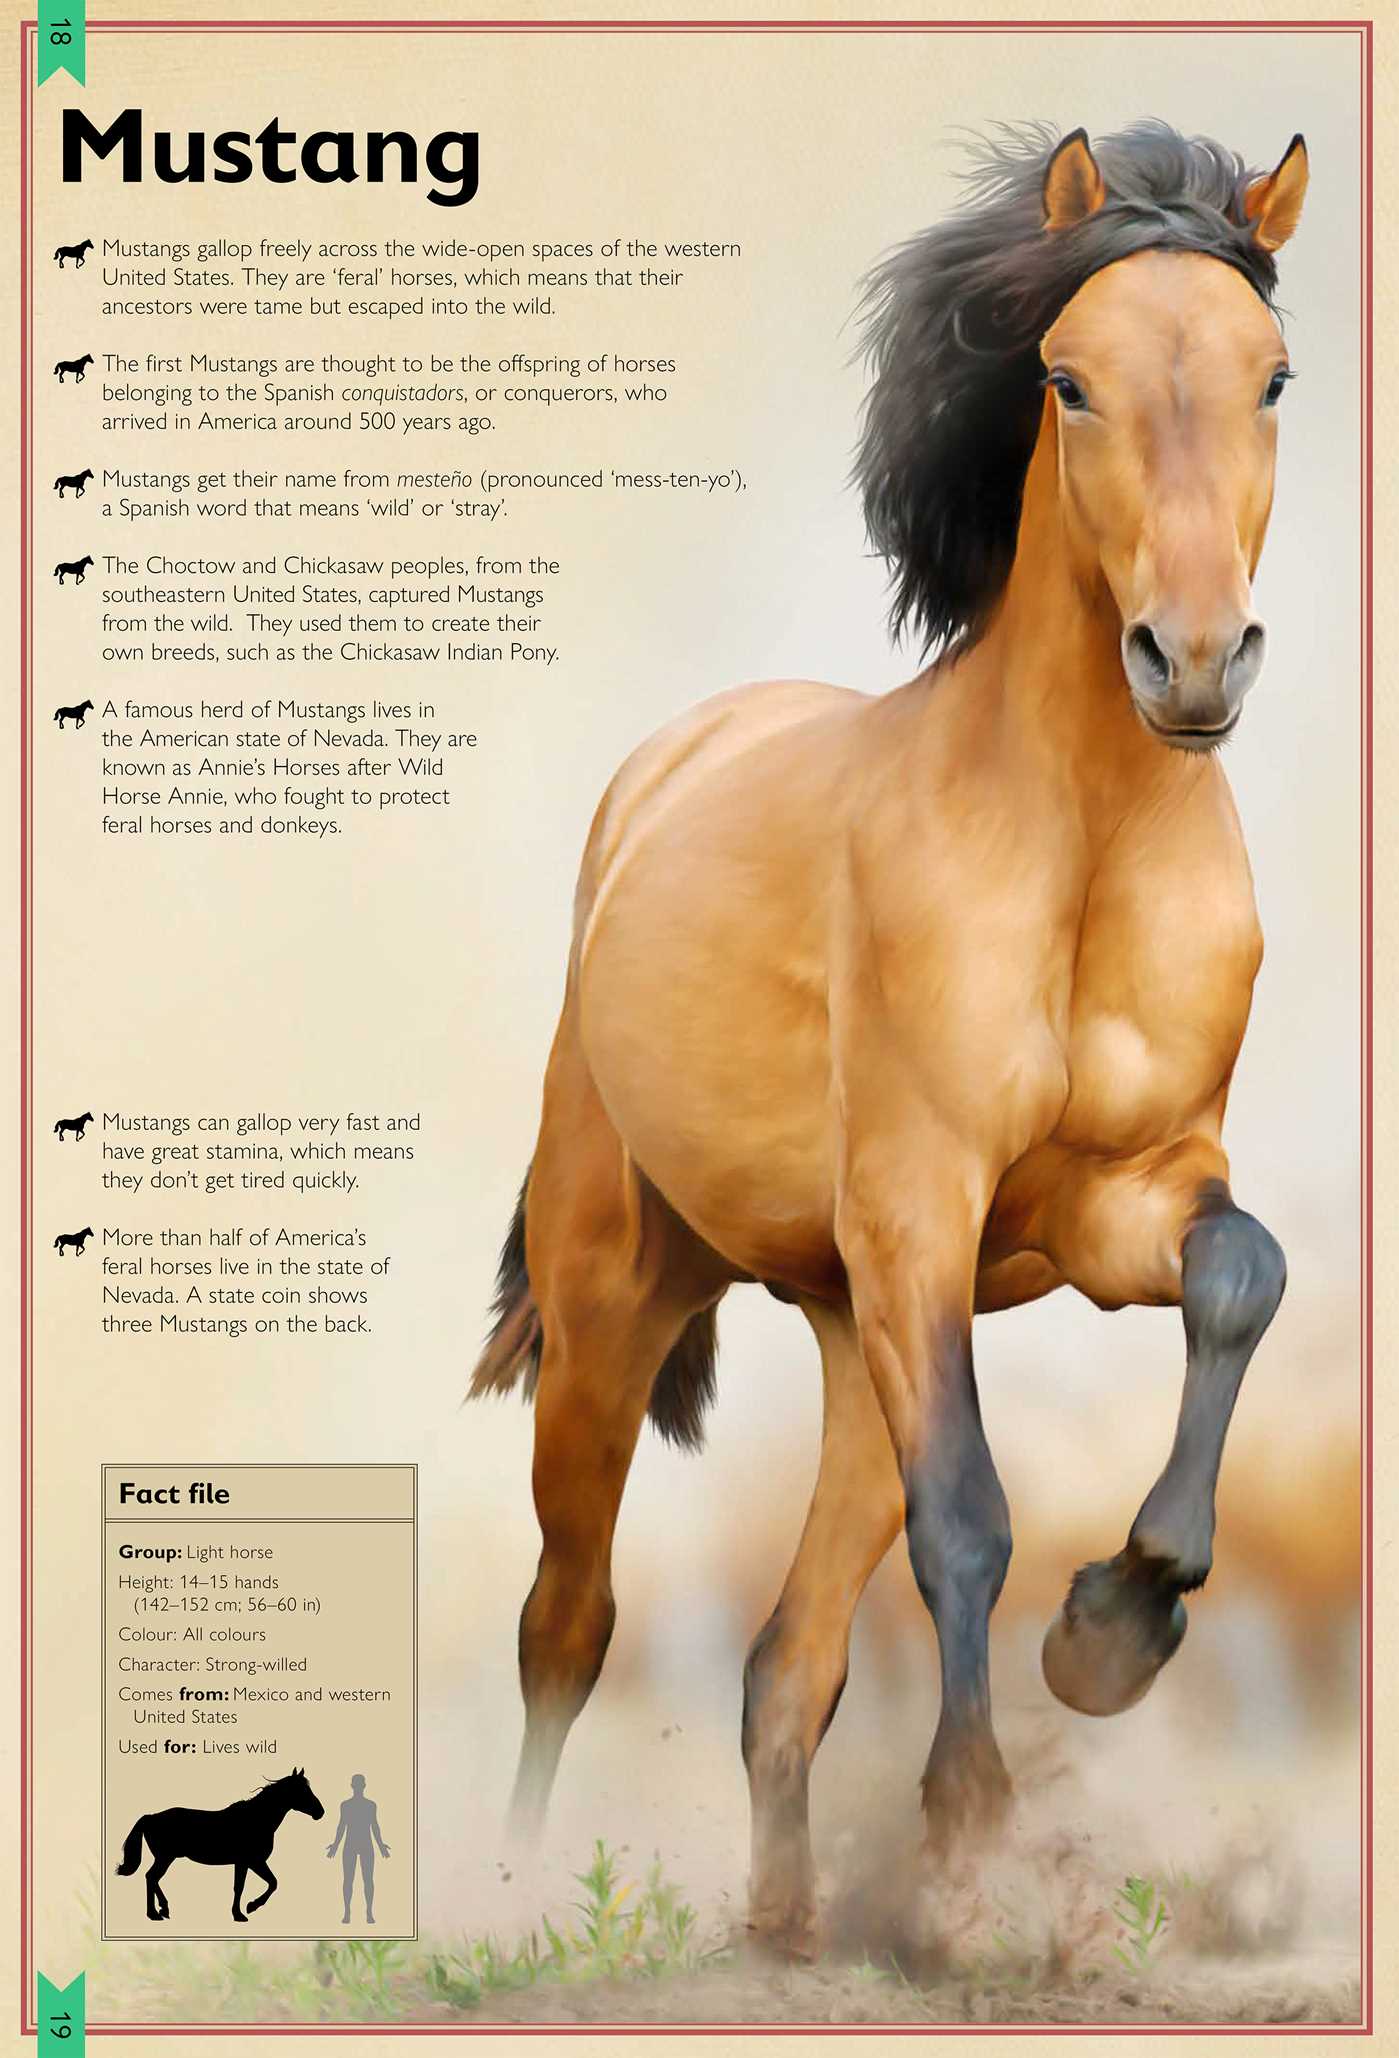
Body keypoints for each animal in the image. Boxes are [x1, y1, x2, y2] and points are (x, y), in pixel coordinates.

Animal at [115, 1768, 325, 1923]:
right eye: (301, 1790)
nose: (320, 1812)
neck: (256, 1819)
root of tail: (150, 1817)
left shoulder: (247, 1863)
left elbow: (259, 1884)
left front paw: (243, 1910)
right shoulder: (251, 1862)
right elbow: (261, 1884)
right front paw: (246, 1910)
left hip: (167, 1858)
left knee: (153, 1879)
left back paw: (163, 1909)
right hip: (165, 1858)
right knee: (151, 1877)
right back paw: (154, 1914)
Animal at [467, 120, 1309, 1956]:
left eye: (1271, 375)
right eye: (1065, 378)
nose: (1190, 660)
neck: (1076, 851)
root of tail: (657, 776)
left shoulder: (1116, 1200)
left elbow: (1238, 1275)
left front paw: (1115, 1625)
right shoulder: (925, 1205)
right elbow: (969, 1522)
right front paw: (975, 1812)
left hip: (854, 1326)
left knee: (784, 1662)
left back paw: (790, 1927)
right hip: (618, 1298)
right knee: (568, 1616)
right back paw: (502, 1906)